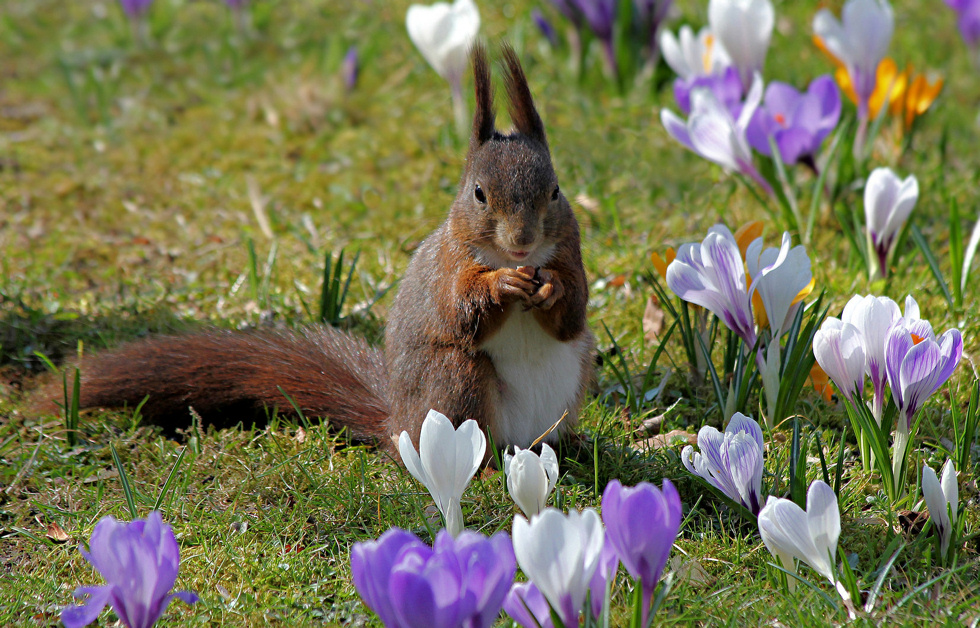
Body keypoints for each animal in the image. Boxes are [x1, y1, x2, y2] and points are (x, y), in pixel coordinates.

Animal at [34, 45, 592, 456]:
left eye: (555, 191)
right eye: (478, 194)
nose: (522, 241)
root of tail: (399, 424)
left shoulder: (571, 251)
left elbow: (572, 313)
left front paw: (550, 286)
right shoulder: (448, 265)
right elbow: (460, 312)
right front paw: (501, 283)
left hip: (575, 372)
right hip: (456, 383)